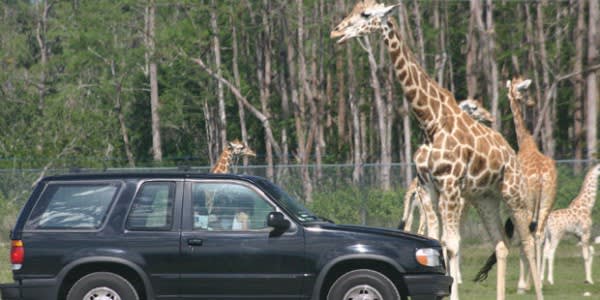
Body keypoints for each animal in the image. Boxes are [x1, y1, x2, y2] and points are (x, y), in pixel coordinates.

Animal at [330, 1, 540, 298]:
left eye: (366, 14)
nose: (336, 32)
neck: (430, 122)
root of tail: (512, 154)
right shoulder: (427, 186)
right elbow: (434, 242)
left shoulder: (450, 185)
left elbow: (451, 245)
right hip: (484, 198)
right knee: (501, 245)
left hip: (513, 193)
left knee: (528, 242)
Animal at [504, 77, 560, 292]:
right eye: (525, 91)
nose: (532, 103)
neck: (525, 143)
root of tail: (541, 176)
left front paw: (523, 284)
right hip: (547, 201)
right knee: (540, 234)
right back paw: (540, 282)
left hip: (528, 203)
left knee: (527, 236)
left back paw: (525, 284)